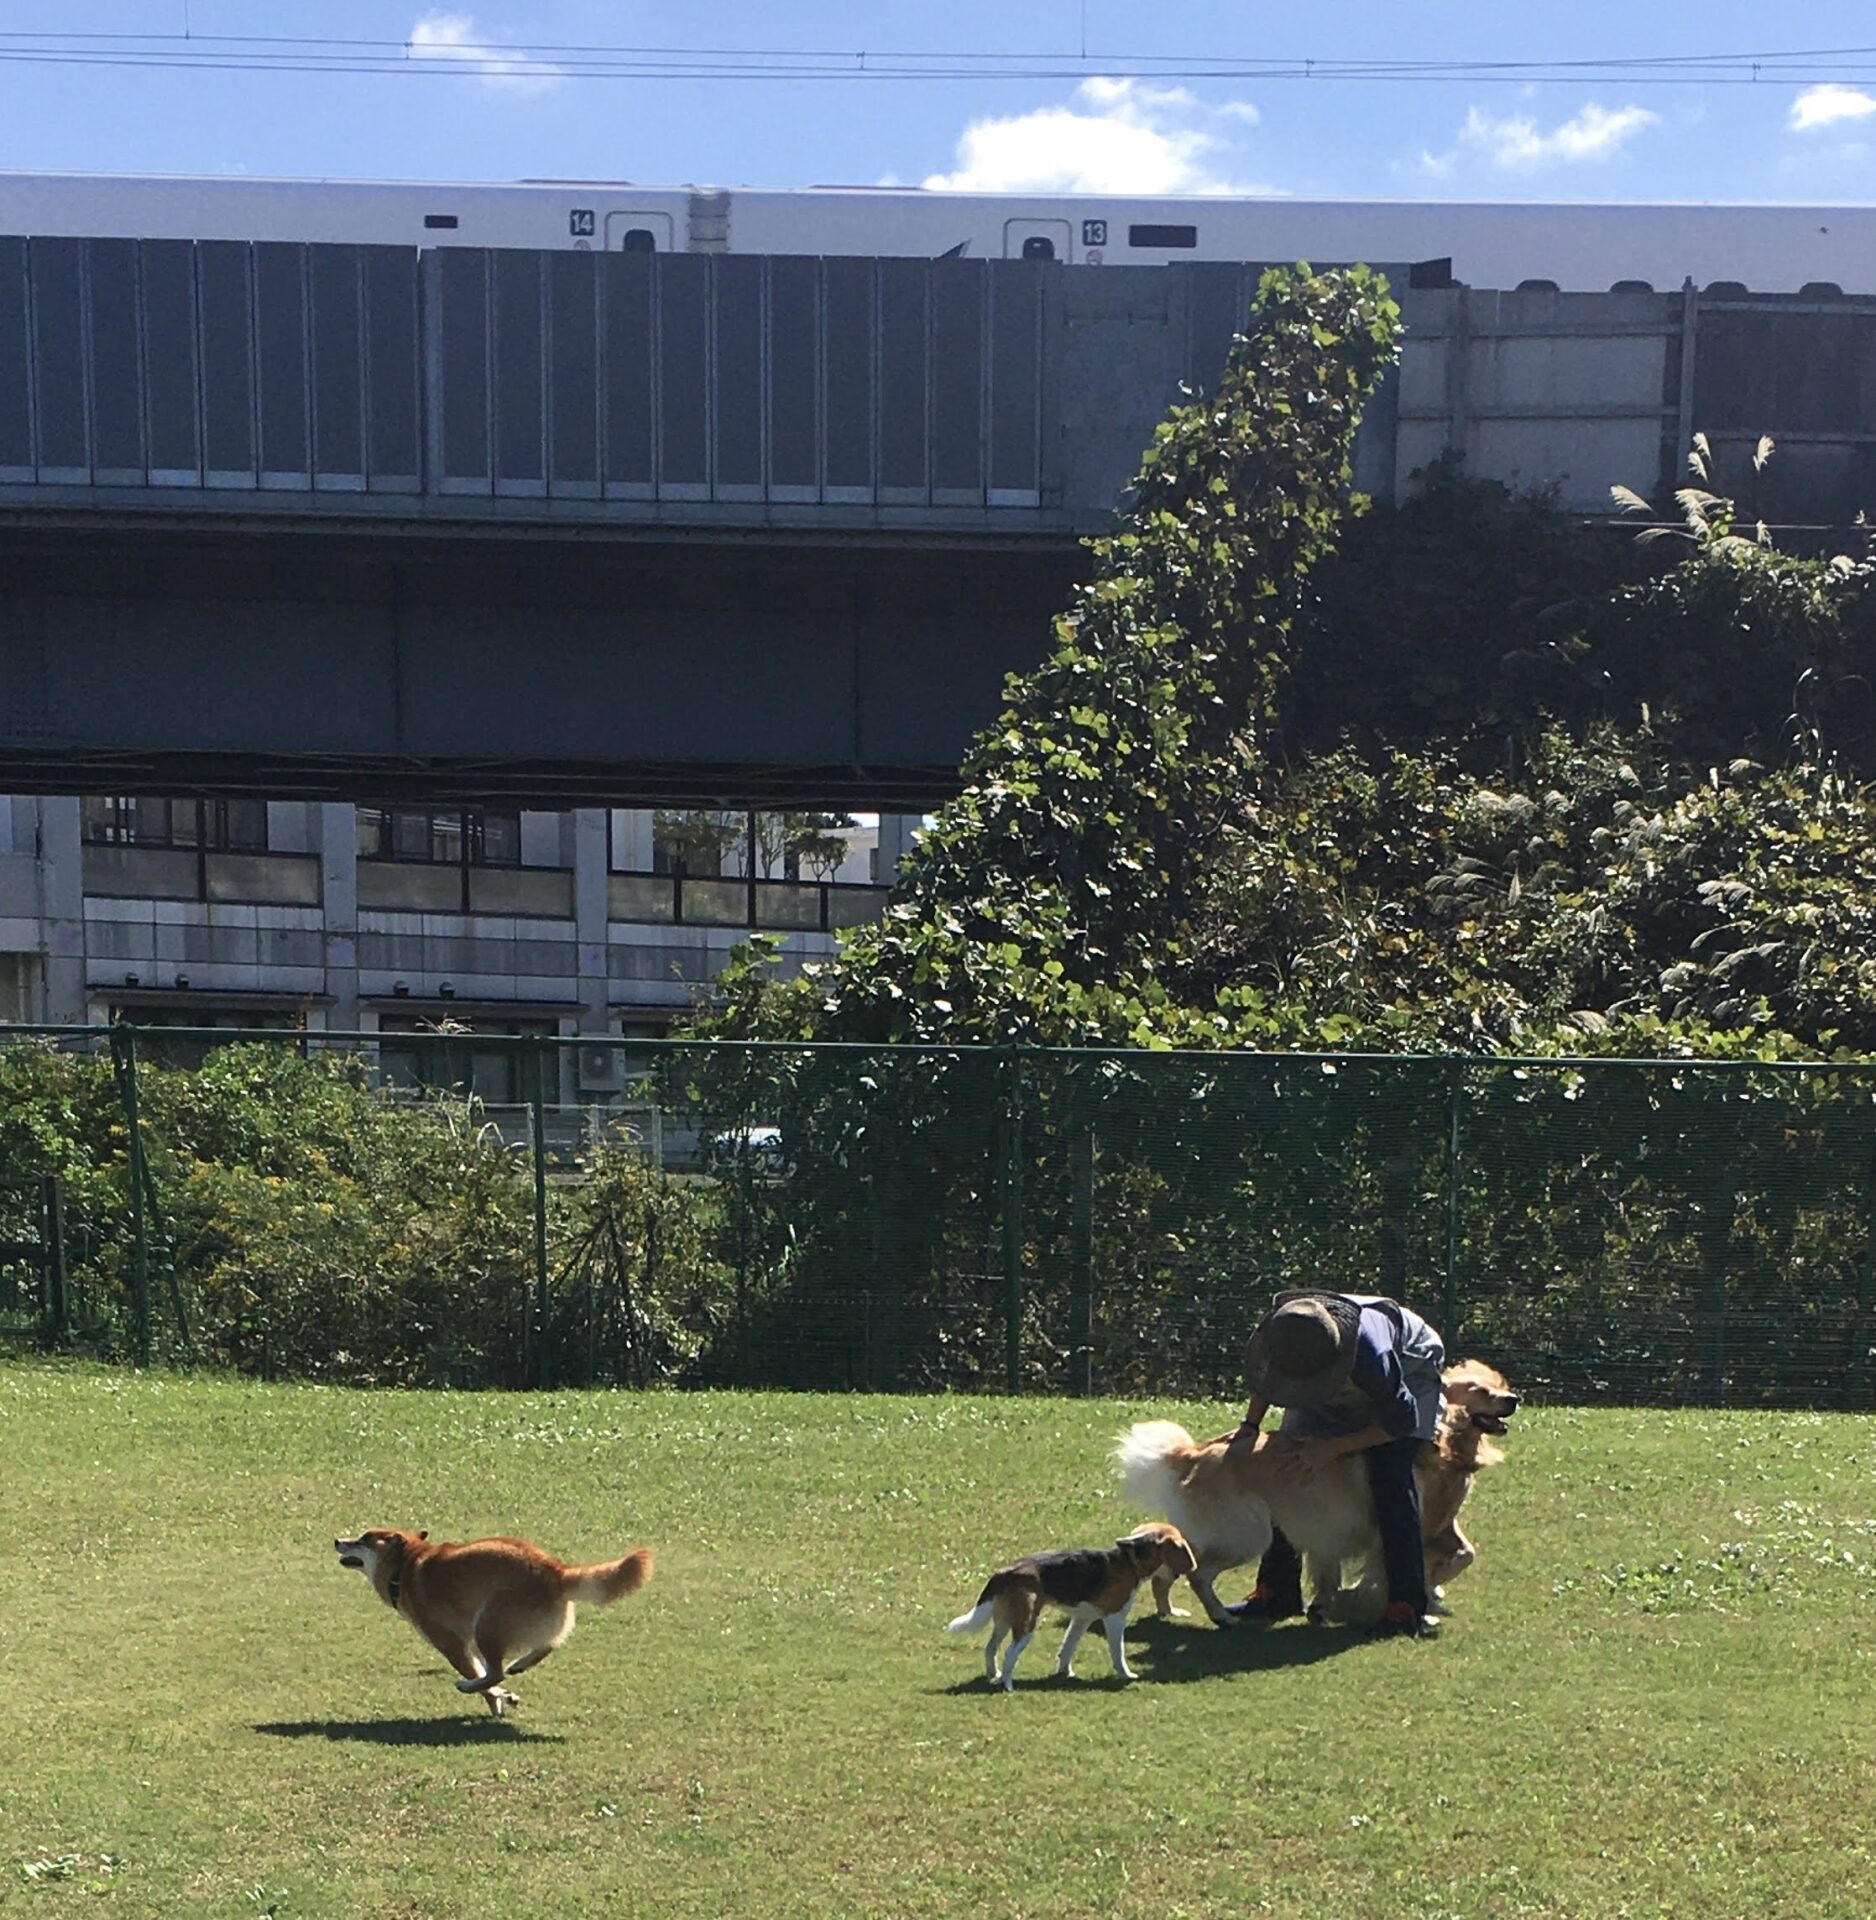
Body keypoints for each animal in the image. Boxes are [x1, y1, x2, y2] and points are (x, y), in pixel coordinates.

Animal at [334, 1527, 653, 1715]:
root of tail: (555, 1571)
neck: (405, 1567)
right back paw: (521, 1664)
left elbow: (481, 1677)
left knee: (496, 1671)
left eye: (362, 1539)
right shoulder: (467, 1644)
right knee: (545, 1647)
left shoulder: (451, 1644)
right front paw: (504, 1698)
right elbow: (483, 1672)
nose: (336, 1540)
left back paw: (469, 1686)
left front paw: (494, 1698)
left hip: (487, 1623)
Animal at [946, 1522, 1196, 1691]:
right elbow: (1118, 1652)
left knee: (990, 1648)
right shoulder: (1114, 1618)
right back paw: (1007, 1684)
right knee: (1010, 1652)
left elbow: (1068, 1647)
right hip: (1026, 1622)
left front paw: (1065, 1672)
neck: (1130, 1561)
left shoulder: (1081, 1619)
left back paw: (993, 1674)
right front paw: (1126, 1674)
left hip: (1004, 1619)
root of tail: (1006, 1571)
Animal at [1115, 1360, 1517, 1627]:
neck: (1443, 1444)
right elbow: (1404, 1570)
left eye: (1499, 1384)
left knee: (1167, 1572)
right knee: (1198, 1575)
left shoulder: (1441, 1523)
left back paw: (1170, 1612)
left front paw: (1431, 1593)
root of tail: (1192, 1453)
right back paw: (1222, 1617)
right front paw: (1416, 1600)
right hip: (1246, 1534)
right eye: (1481, 1391)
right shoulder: (1405, 1527)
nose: (1513, 1398)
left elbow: (1465, 1554)